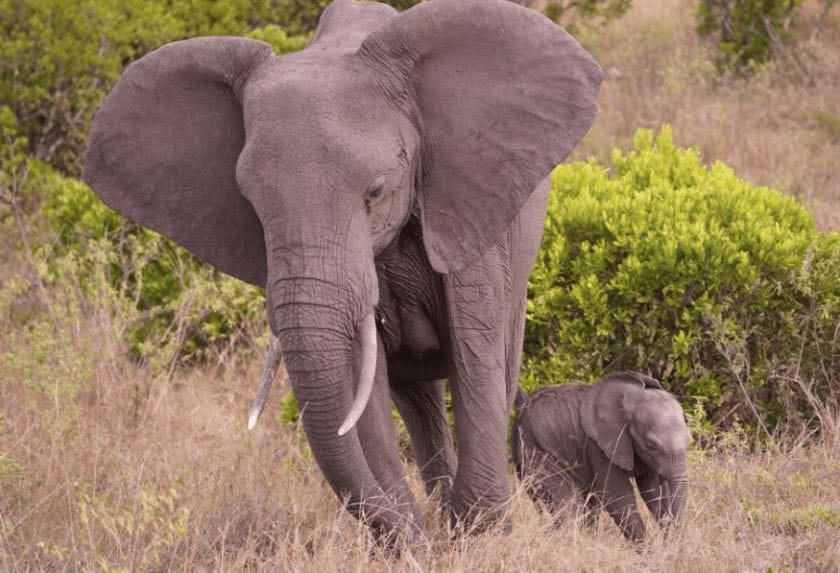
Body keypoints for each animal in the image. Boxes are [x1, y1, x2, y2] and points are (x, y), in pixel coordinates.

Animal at [83, 0, 596, 544]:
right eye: (250, 203)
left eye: (375, 190)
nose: (411, 536)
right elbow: (361, 376)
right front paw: (410, 542)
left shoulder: (469, 204)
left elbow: (473, 350)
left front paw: (481, 538)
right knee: (420, 402)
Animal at [512, 370, 688, 540]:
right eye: (652, 446)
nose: (673, 540)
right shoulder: (599, 445)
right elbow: (618, 496)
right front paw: (648, 548)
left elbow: (653, 492)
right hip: (535, 452)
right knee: (569, 505)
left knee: (589, 504)